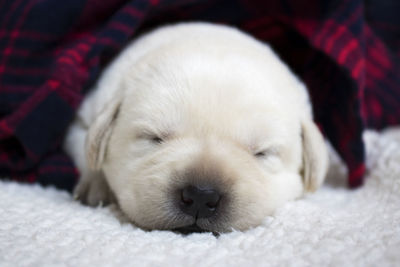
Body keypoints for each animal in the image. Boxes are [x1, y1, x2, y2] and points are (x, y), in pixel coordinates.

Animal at [63, 22, 328, 233]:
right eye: (154, 137)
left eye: (262, 153)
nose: (201, 195)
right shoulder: (84, 118)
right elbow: (86, 151)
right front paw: (96, 186)